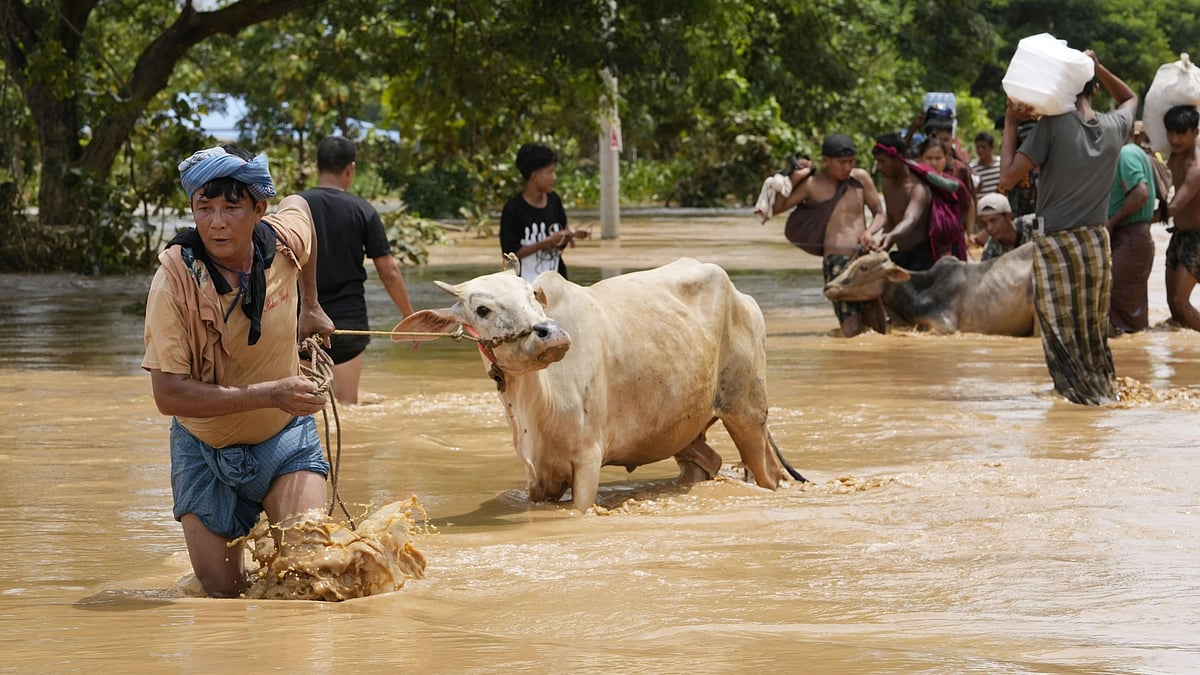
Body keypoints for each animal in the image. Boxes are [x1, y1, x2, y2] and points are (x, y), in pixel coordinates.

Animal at [392, 257, 805, 510]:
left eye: (531, 296)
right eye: (482, 309)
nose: (551, 334)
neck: (536, 404)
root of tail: (743, 297)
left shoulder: (588, 461)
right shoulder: (536, 476)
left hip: (747, 413)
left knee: (768, 473)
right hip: (685, 429)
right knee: (708, 462)